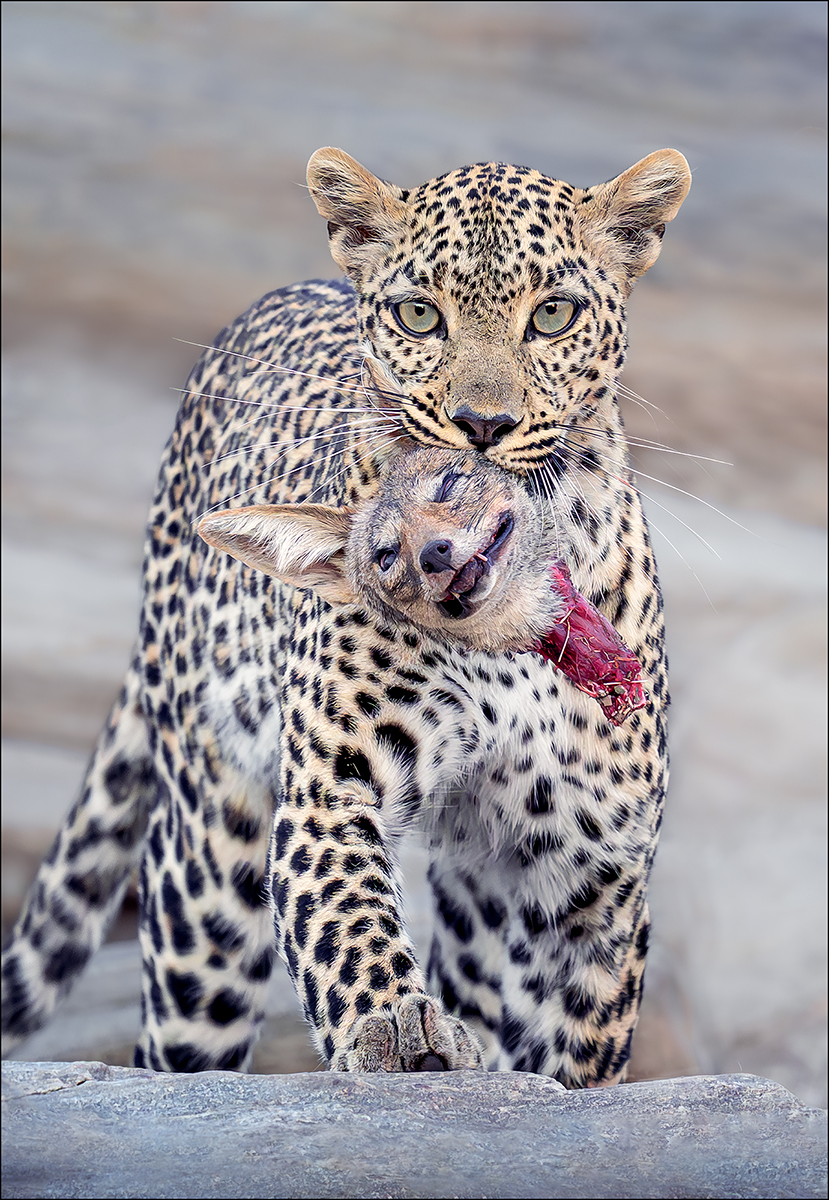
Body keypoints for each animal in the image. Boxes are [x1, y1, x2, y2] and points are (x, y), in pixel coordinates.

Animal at [2, 145, 690, 1085]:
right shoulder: (333, 789)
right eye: (418, 315)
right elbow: (348, 916)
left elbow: (574, 1047)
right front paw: (394, 1028)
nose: (482, 425)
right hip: (203, 877)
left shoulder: (585, 866)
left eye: (552, 314)